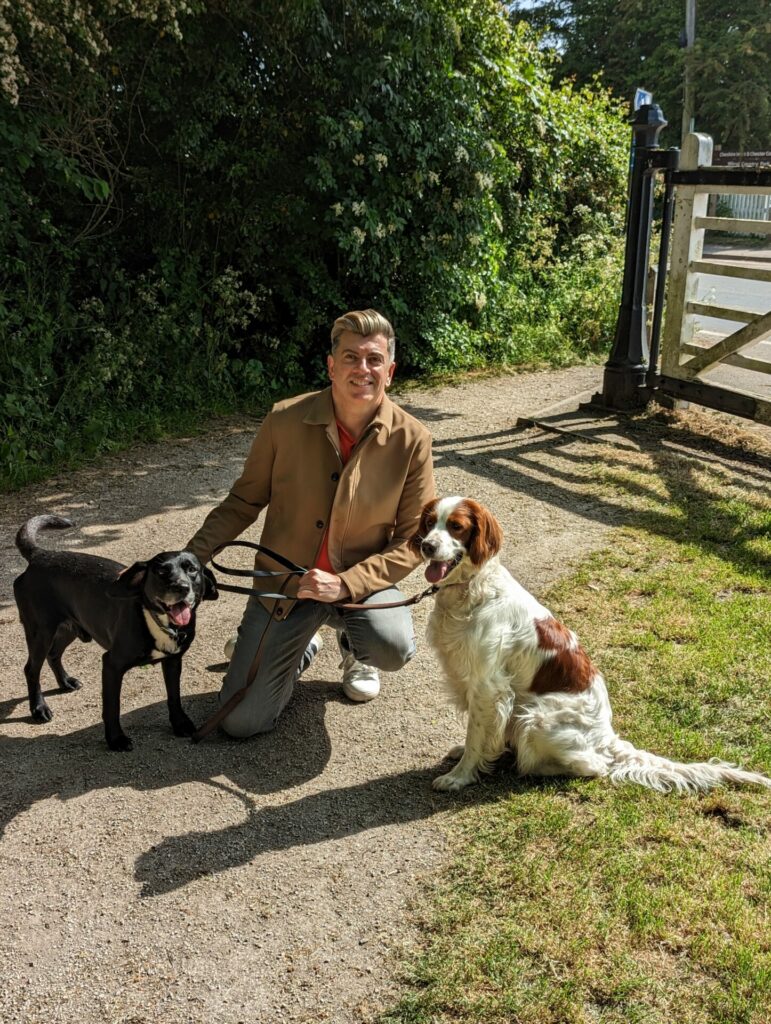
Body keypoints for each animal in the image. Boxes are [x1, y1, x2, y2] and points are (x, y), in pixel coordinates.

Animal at [13, 516, 218, 749]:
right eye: (162, 572)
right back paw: (39, 708)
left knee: (54, 654)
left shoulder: (173, 661)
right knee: (31, 669)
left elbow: (174, 696)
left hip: (70, 627)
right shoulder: (112, 664)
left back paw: (65, 682)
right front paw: (116, 739)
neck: (155, 619)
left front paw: (180, 724)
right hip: (41, 632)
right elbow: (113, 707)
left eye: (192, 569)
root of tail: (40, 555)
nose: (181, 587)